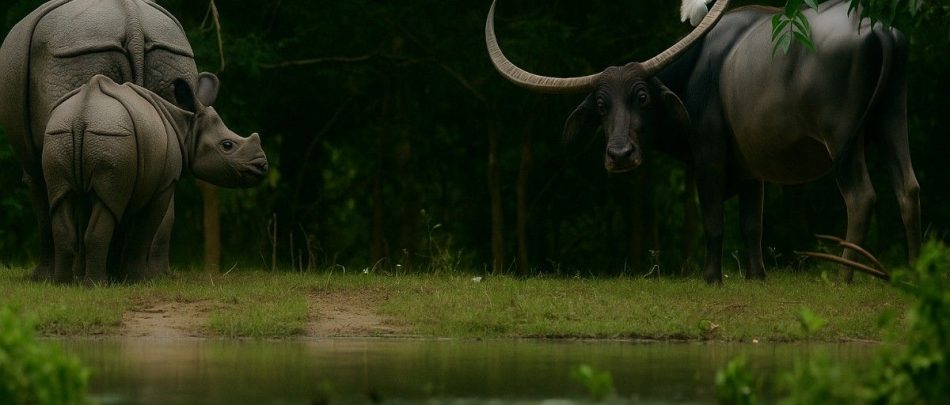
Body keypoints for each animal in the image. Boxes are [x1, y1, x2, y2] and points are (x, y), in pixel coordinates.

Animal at [0, 0, 220, 280]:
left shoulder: (36, 161)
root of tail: (133, 21)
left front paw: (43, 277)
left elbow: (42, 198)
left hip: (73, 55)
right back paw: (152, 274)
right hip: (172, 54)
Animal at [42, 75, 267, 283]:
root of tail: (82, 115)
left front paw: (94, 277)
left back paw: (64, 283)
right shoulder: (164, 184)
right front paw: (137, 280)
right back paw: (96, 285)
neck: (186, 127)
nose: (262, 166)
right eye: (227, 145)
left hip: (60, 134)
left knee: (61, 199)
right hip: (111, 136)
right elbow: (145, 229)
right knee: (108, 207)